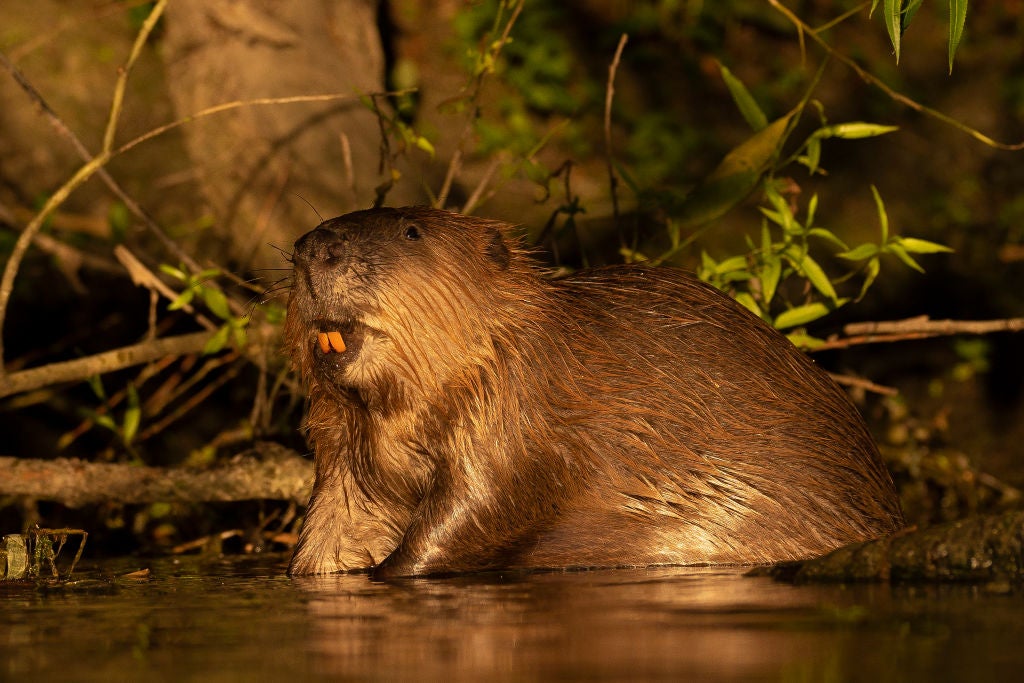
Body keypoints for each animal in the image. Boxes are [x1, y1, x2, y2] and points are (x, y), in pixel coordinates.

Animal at [282, 206, 905, 577]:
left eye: (411, 232)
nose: (315, 247)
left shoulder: (518, 404)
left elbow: (479, 503)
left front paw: (386, 571)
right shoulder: (343, 447)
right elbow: (335, 520)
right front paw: (314, 568)